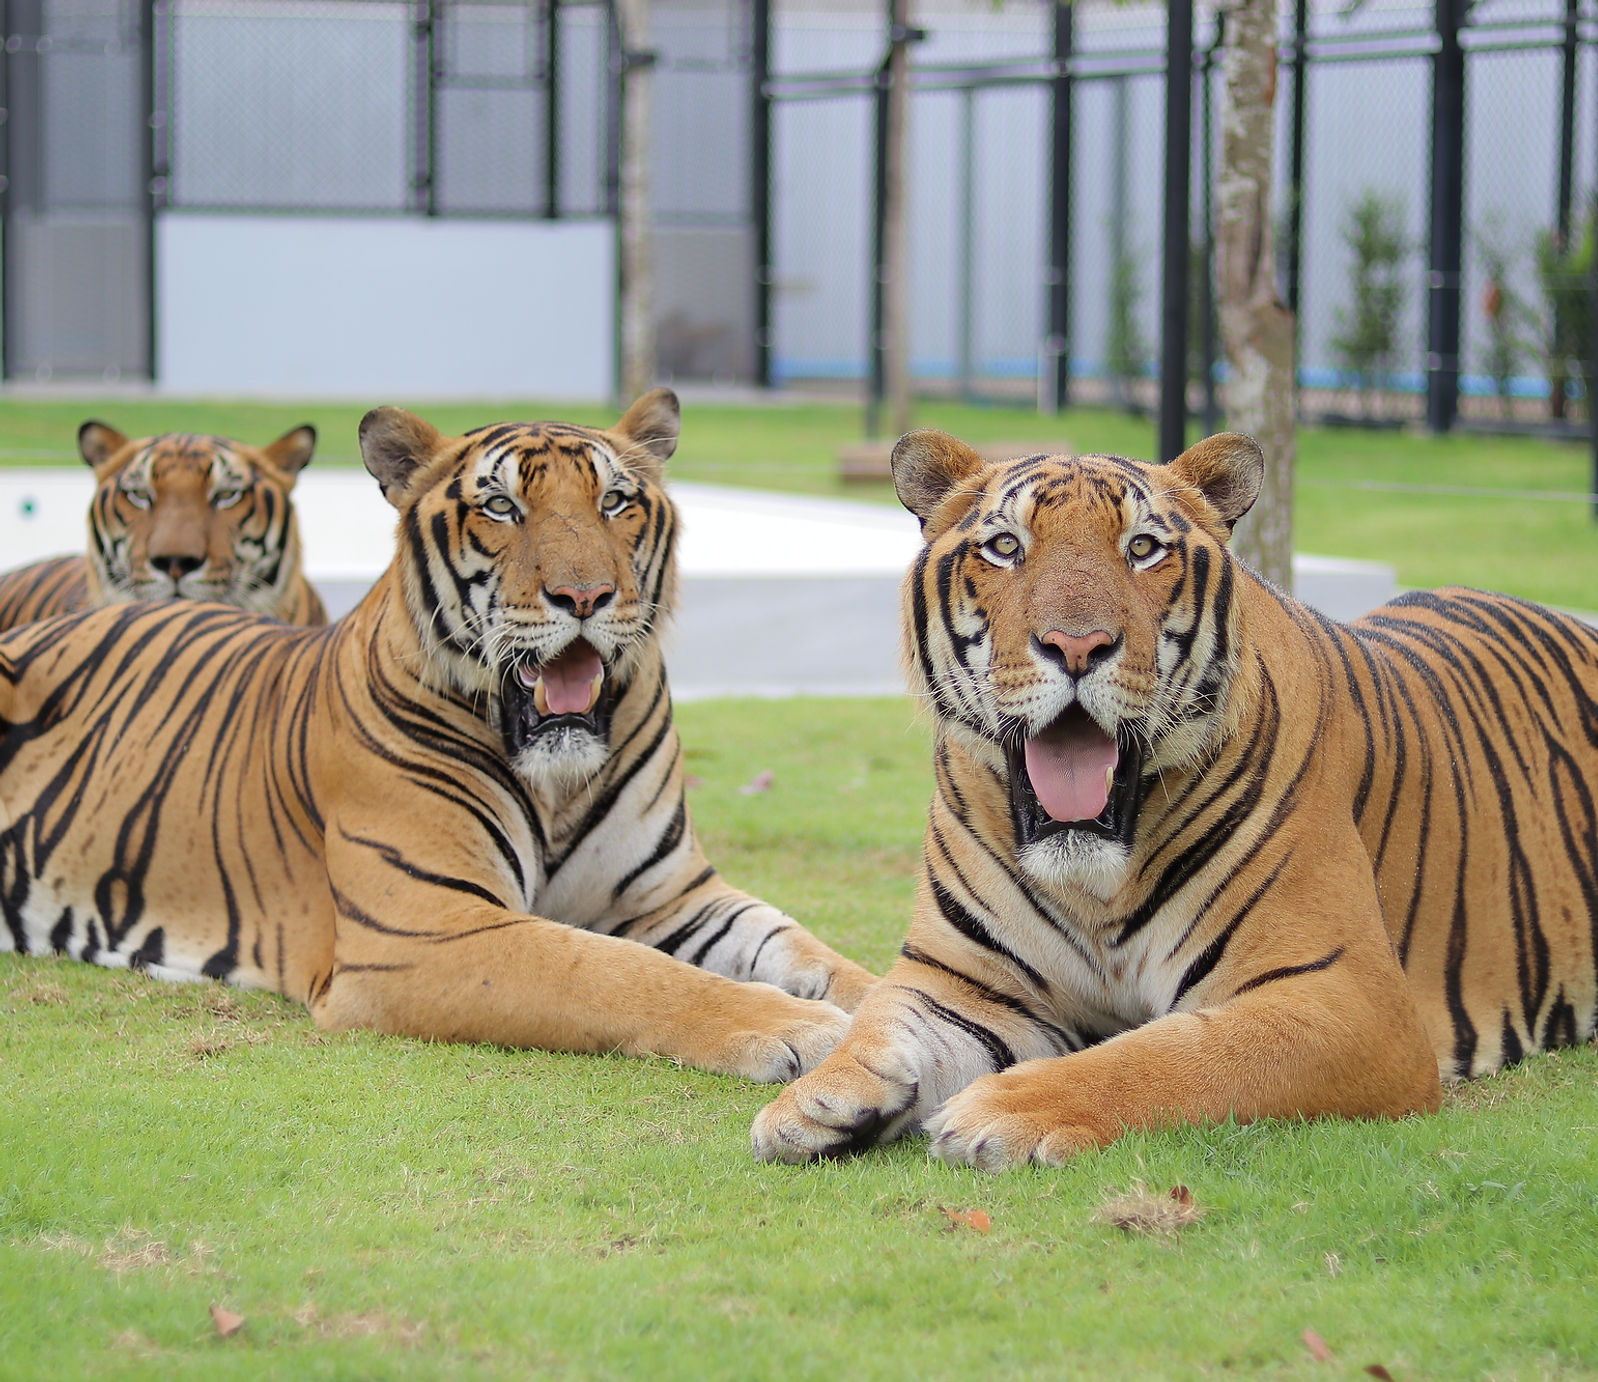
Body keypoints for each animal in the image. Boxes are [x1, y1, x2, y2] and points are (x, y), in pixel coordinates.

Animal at [753, 429, 1598, 1169]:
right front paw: (814, 1099)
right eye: (1006, 547)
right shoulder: (963, 980)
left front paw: (1005, 1107)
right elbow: (881, 1022)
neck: (1094, 877)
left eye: (1142, 548)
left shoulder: (1347, 998)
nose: (1078, 646)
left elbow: (1176, 1052)